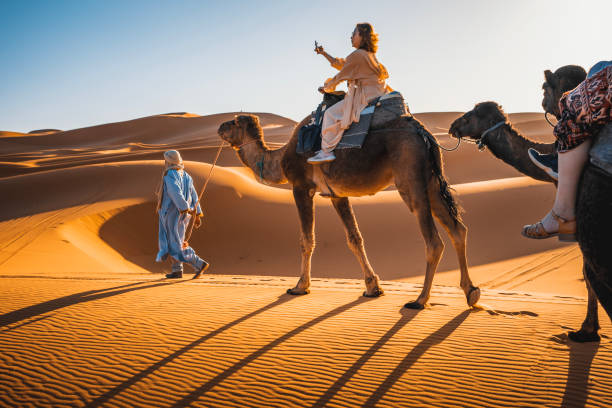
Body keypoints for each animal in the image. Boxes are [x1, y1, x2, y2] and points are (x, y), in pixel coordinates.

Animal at [218, 103, 480, 310]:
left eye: (233, 121)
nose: (220, 127)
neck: (279, 159)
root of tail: (423, 133)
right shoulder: (337, 195)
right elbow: (354, 238)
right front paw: (373, 288)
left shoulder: (301, 187)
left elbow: (306, 240)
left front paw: (300, 286)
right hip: (431, 180)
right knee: (458, 229)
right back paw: (471, 292)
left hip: (410, 178)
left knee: (434, 241)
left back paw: (420, 300)